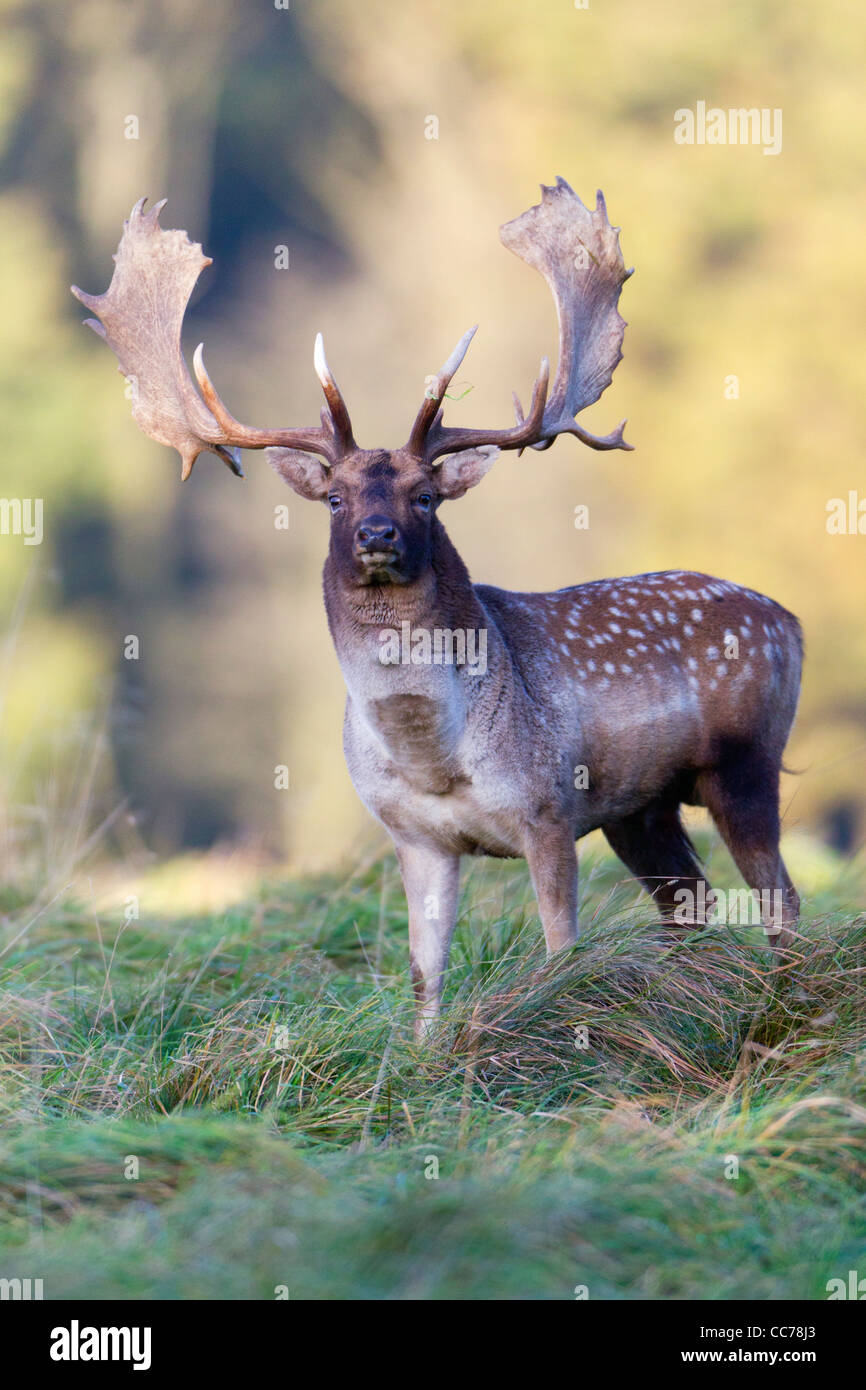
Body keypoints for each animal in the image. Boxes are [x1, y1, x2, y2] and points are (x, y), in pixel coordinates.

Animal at [74, 179, 806, 1039]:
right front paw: (428, 1056)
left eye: (424, 494)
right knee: (690, 903)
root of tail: (789, 620)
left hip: (746, 758)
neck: (435, 755)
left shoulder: (548, 808)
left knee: (781, 898)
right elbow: (426, 974)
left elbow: (561, 949)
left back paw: (783, 1008)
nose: (376, 534)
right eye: (333, 497)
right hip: (643, 806)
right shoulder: (414, 836)